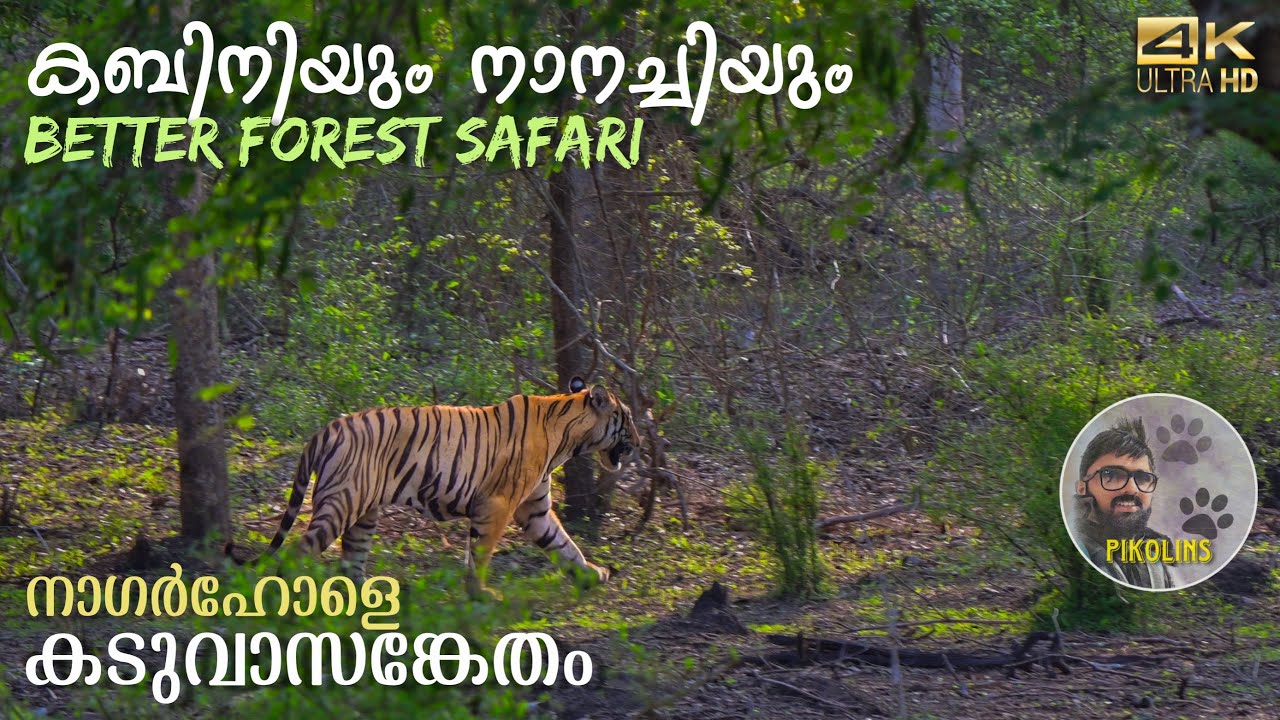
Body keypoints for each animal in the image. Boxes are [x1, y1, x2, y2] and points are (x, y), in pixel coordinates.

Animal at [238, 377, 641, 599]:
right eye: (628, 418)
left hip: (364, 514)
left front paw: (592, 575)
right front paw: (480, 594)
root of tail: (325, 430)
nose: (638, 442)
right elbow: (480, 553)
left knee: (350, 564)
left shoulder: (535, 508)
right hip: (342, 503)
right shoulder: (497, 504)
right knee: (296, 553)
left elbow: (564, 544)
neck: (567, 435)